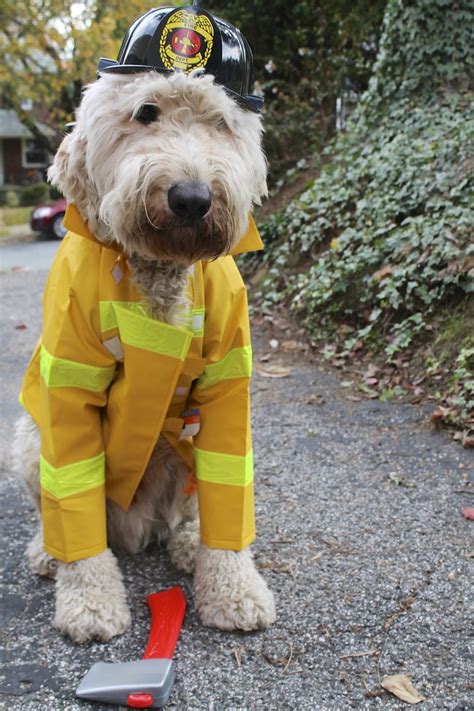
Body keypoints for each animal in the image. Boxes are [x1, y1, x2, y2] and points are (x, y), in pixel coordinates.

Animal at [12, 11, 274, 644]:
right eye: (146, 112)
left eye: (220, 123)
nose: (191, 198)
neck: (157, 273)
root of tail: (138, 525)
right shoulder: (68, 388)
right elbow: (76, 507)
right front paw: (89, 601)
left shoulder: (228, 390)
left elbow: (229, 498)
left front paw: (233, 588)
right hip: (28, 441)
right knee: (61, 509)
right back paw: (48, 550)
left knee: (188, 510)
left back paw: (186, 542)